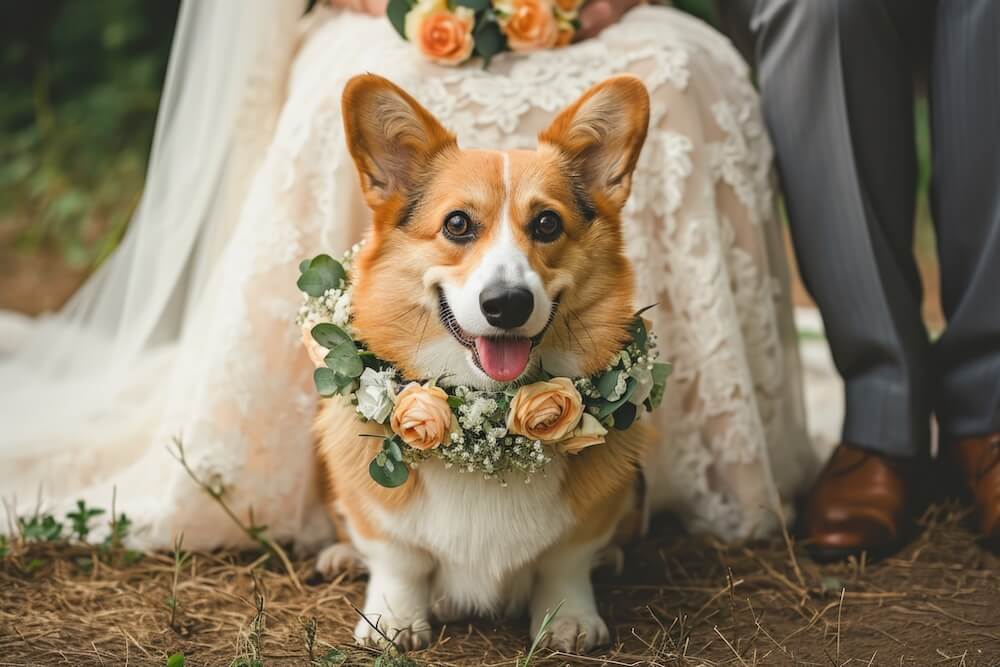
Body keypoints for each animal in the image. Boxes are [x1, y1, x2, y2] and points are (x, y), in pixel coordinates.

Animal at [316, 73, 652, 652]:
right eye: (457, 224)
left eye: (547, 223)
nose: (507, 304)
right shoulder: (379, 515)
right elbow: (398, 561)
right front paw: (393, 619)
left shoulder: (586, 522)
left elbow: (566, 563)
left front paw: (569, 619)